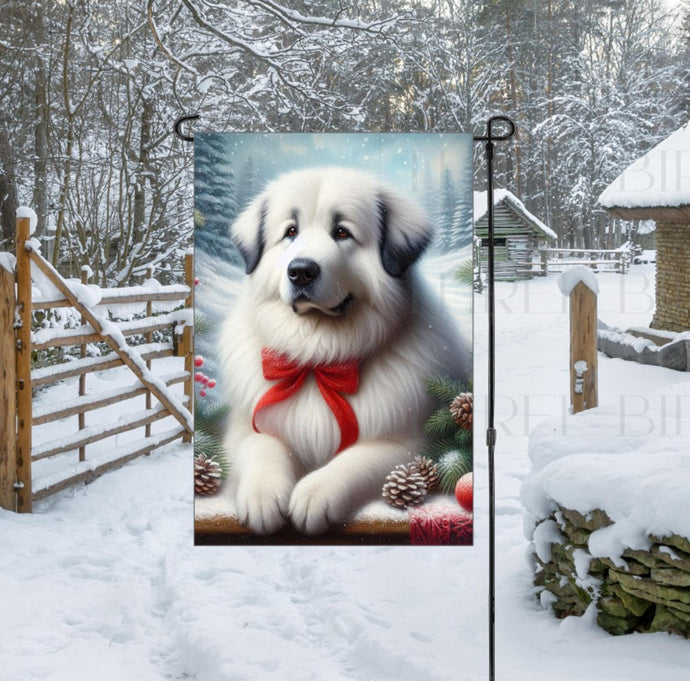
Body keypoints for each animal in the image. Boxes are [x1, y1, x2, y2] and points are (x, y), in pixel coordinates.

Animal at [219, 167, 468, 532]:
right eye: (291, 232)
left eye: (342, 232)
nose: (301, 271)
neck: (316, 358)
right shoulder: (244, 423)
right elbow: (261, 444)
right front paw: (263, 495)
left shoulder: (411, 444)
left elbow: (357, 459)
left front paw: (315, 493)